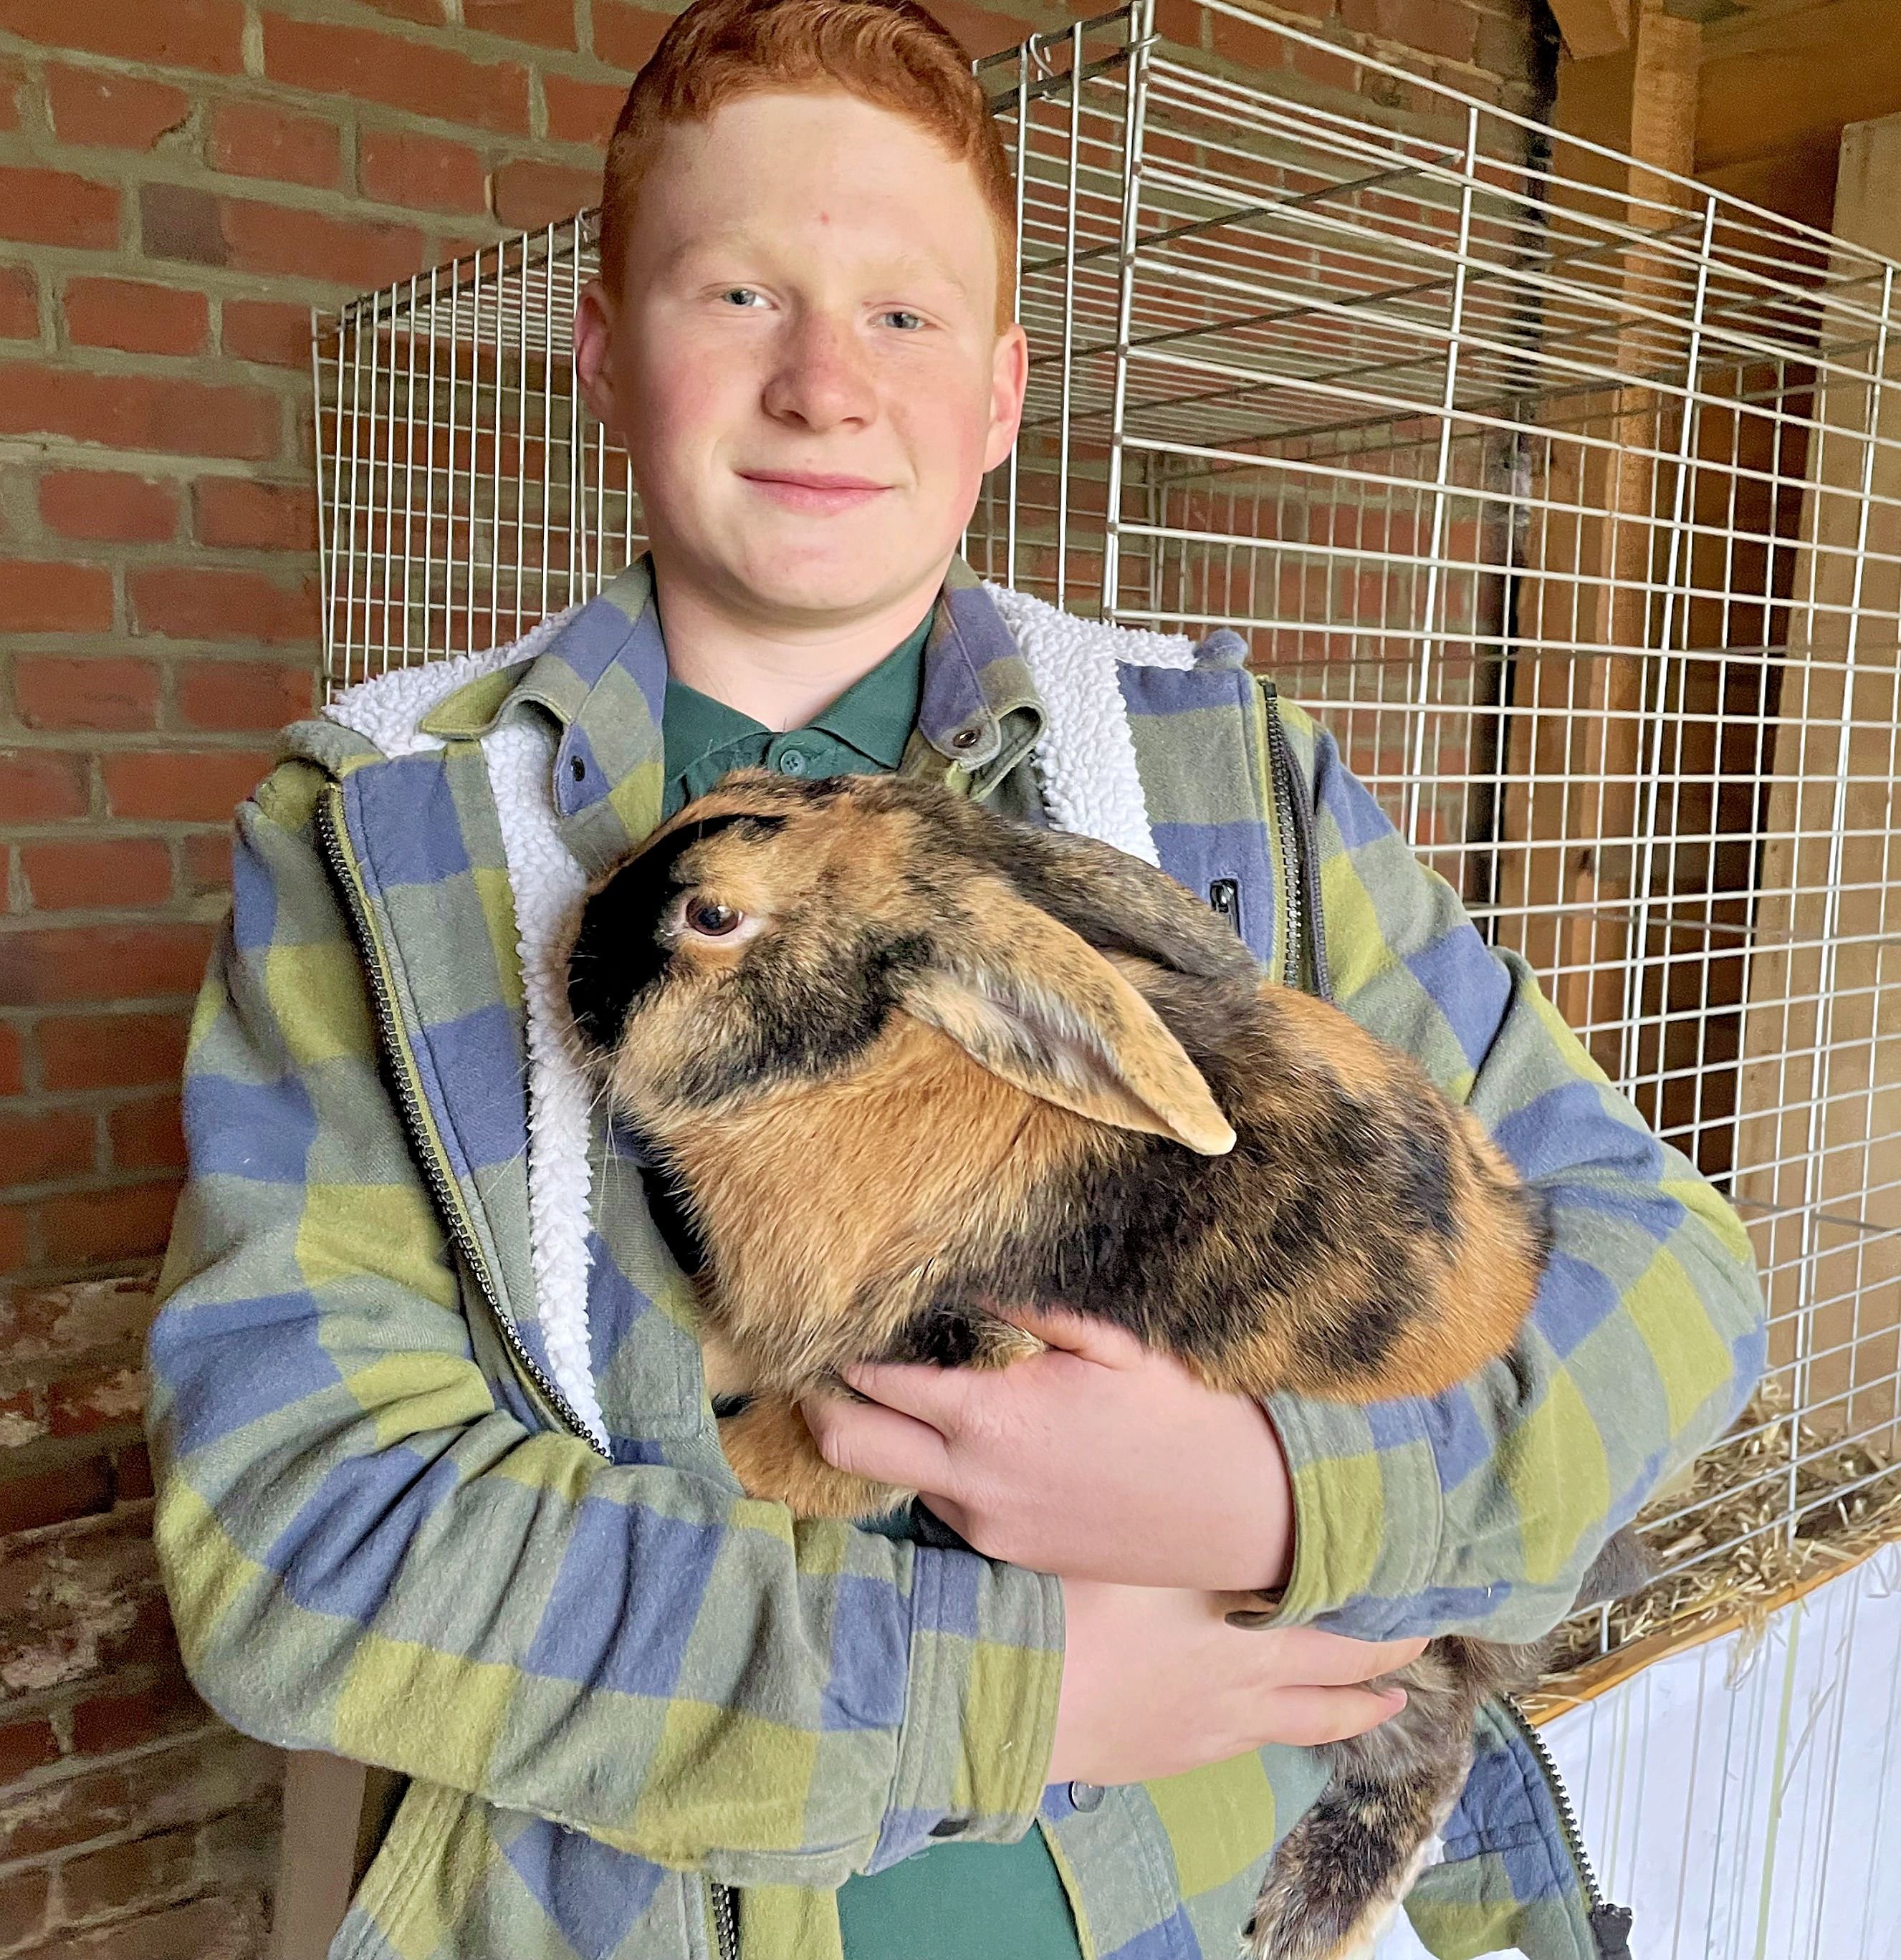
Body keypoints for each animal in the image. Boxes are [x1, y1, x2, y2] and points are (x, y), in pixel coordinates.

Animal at [564, 764, 1560, 1960]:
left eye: (712, 915)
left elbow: (780, 1452)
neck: (867, 1065)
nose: (569, 950)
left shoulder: (919, 1374)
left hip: (1374, 1644)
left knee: (1427, 1746)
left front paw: (713, 1457)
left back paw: (1308, 1914)